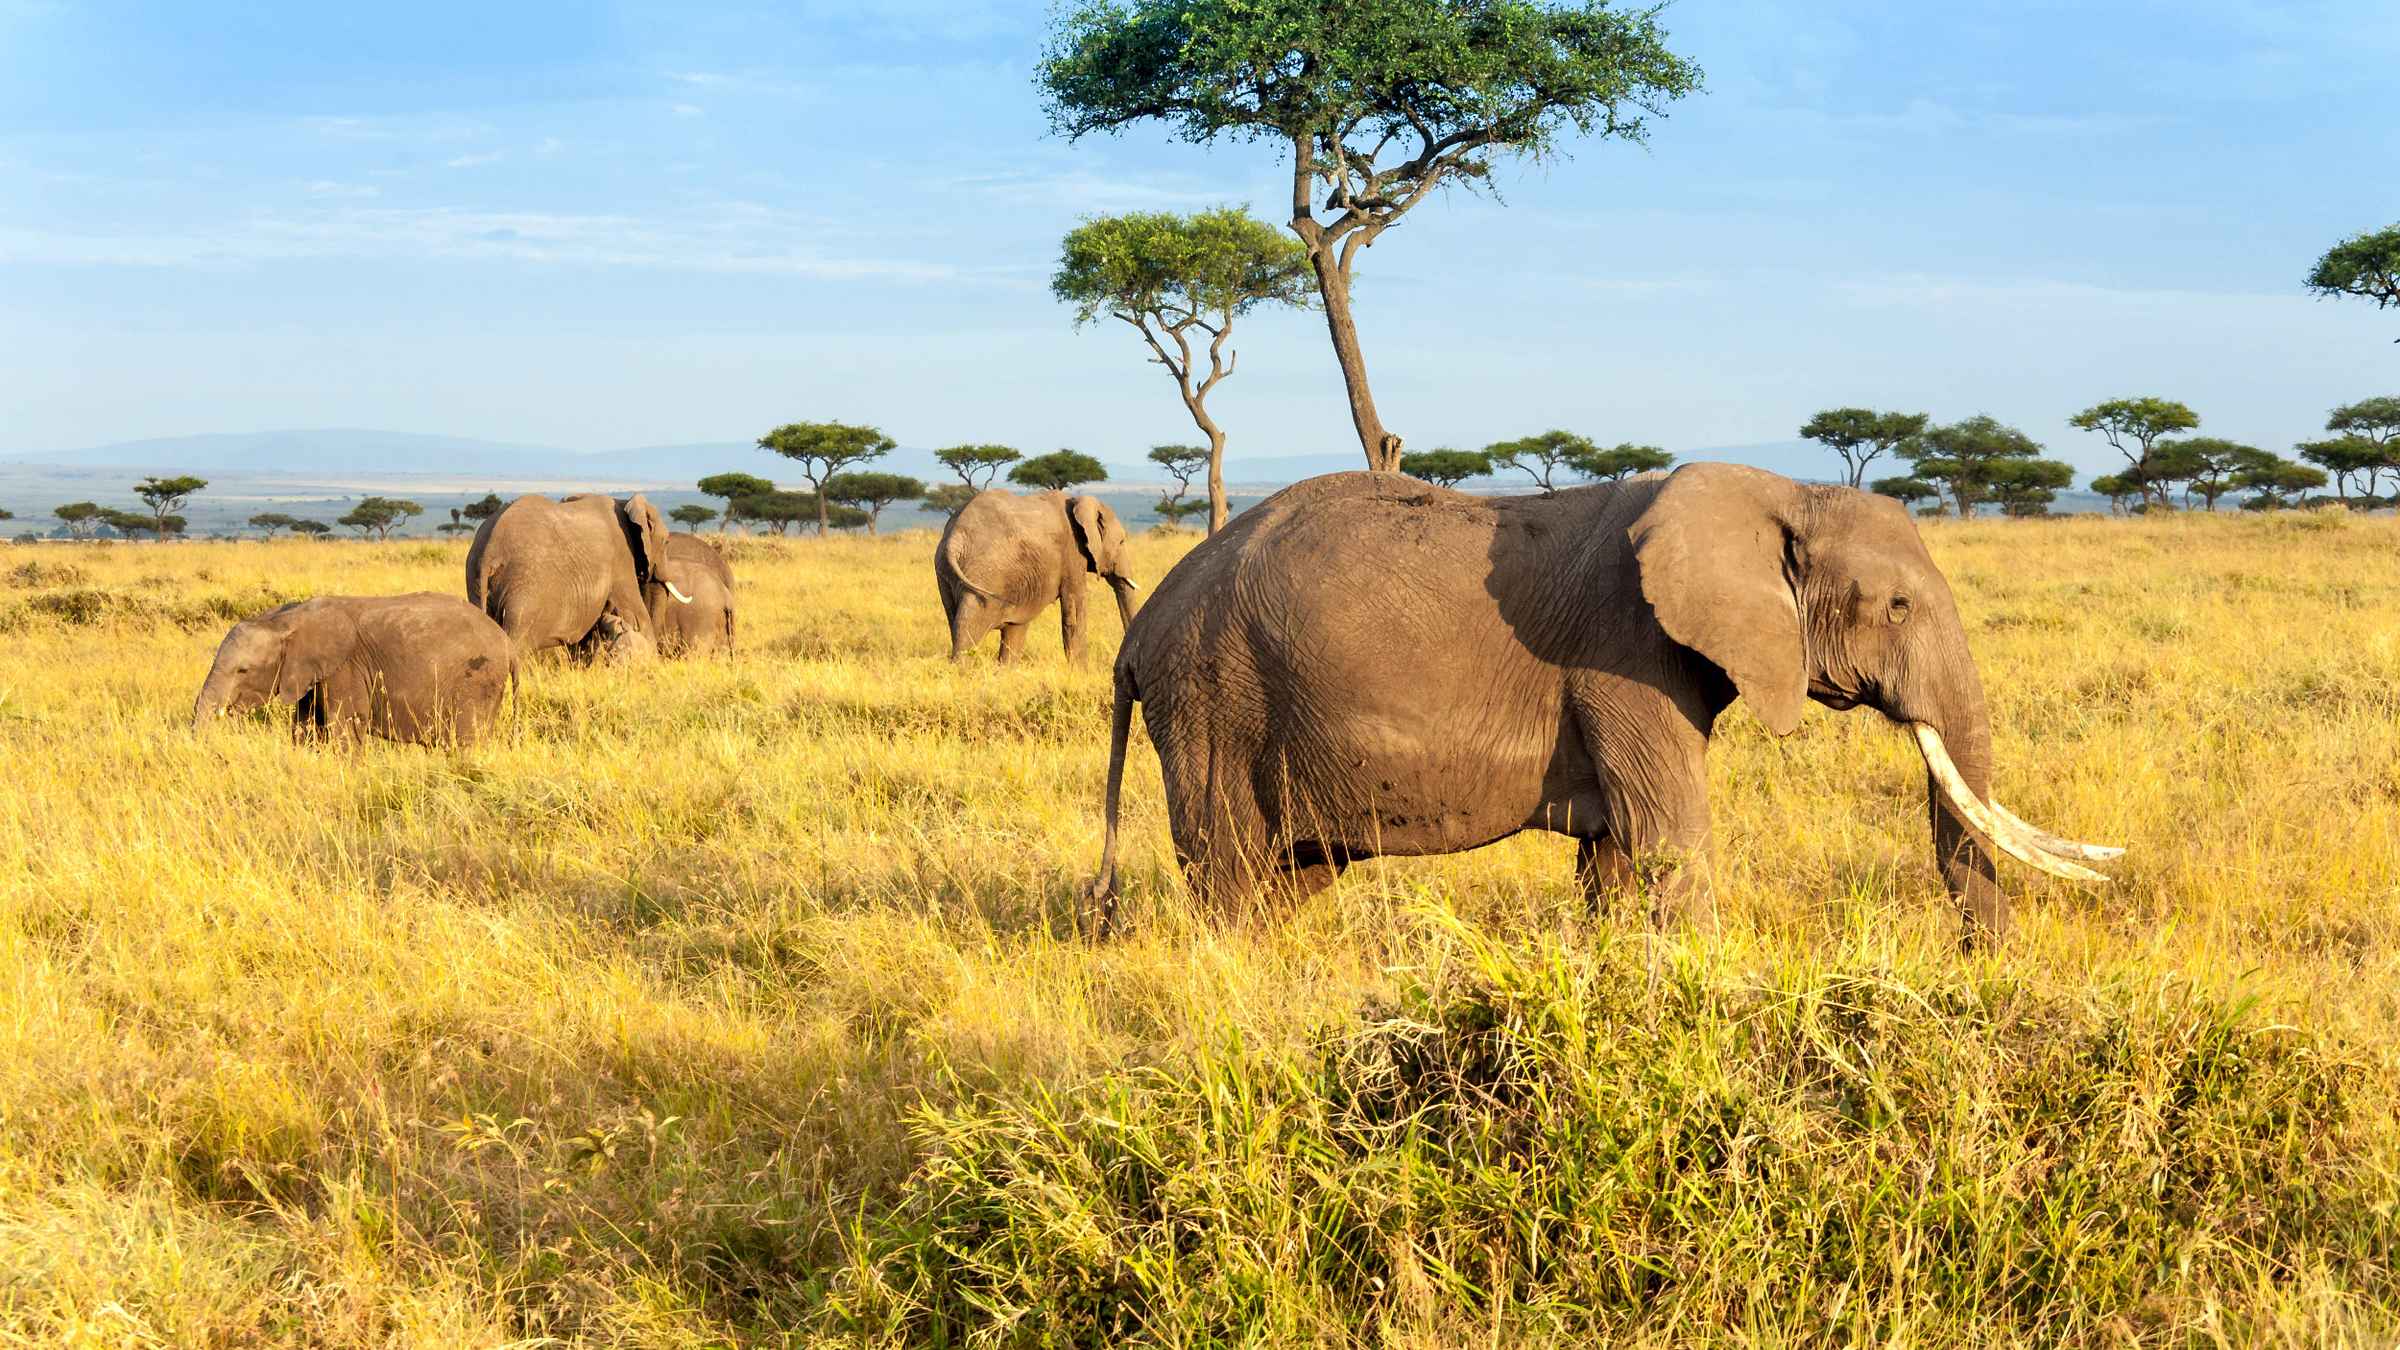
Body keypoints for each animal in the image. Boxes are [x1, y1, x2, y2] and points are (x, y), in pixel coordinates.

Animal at [193, 593, 514, 746]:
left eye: (243, 671)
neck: (284, 620)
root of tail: (507, 644)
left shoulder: (345, 669)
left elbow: (345, 728)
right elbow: (306, 728)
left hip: (477, 681)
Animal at [465, 493, 703, 659]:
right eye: (667, 542)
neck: (624, 502)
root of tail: (490, 550)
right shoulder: (620, 558)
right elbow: (635, 613)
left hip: (475, 578)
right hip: (525, 587)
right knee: (518, 642)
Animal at [934, 489, 1140, 665]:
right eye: (1122, 542)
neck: (1077, 501)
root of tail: (955, 539)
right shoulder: (1072, 554)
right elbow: (1074, 612)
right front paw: (1081, 673)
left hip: (948, 574)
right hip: (986, 572)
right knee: (969, 627)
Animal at [1084, 466, 2120, 944]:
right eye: (1898, 607)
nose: (1985, 968)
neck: (1780, 492)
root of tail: (1136, 638)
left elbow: (1617, 858)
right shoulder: (1623, 655)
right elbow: (1669, 841)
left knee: (1290, 877)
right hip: (1214, 698)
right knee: (1230, 876)